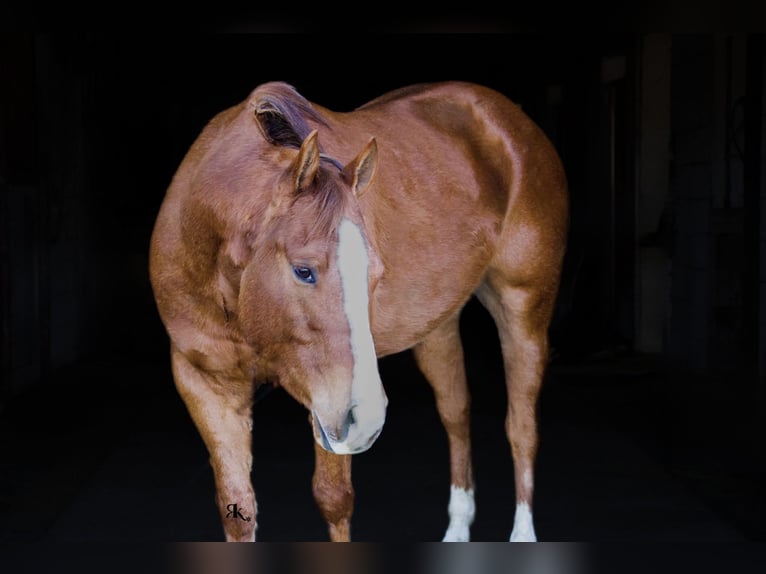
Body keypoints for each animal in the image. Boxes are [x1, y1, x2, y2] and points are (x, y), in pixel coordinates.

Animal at [152, 81, 568, 544]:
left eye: (375, 274)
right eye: (303, 271)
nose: (368, 420)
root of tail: (511, 120)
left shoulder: (327, 403)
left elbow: (334, 499)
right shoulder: (205, 383)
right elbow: (237, 508)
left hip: (524, 310)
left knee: (521, 427)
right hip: (436, 328)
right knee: (457, 413)